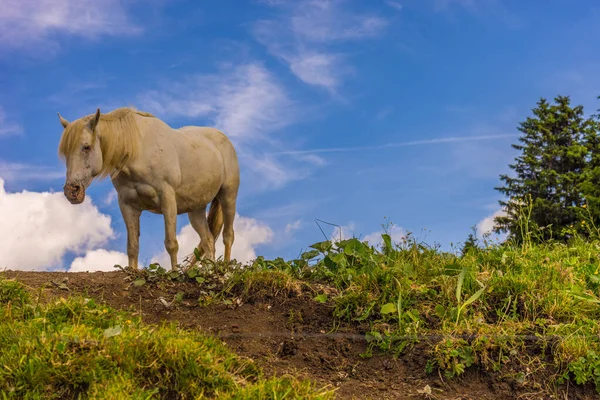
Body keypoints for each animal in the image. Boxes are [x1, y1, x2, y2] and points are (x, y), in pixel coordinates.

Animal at [56, 107, 239, 268]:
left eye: (86, 147)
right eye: (65, 153)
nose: (71, 191)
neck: (137, 150)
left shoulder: (167, 199)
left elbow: (171, 243)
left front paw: (175, 273)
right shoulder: (127, 205)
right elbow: (132, 247)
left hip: (228, 196)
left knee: (227, 236)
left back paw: (225, 270)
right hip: (196, 209)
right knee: (208, 240)